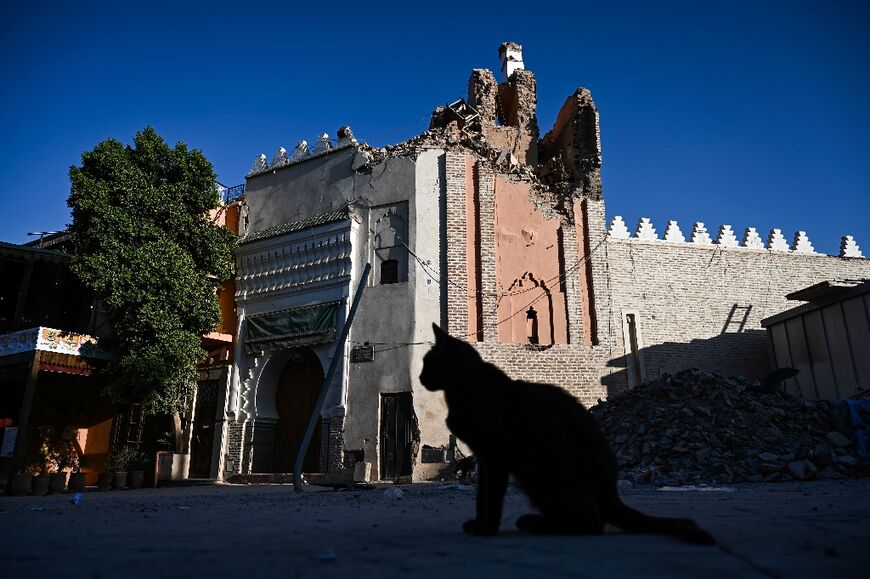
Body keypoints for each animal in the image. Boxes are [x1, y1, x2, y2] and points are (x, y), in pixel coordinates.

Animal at [420, 324, 716, 548]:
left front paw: (486, 529)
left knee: (592, 522)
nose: (421, 377)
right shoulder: (484, 458)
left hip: (539, 469)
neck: (463, 388)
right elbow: (481, 496)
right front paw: (480, 524)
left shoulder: (495, 458)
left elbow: (490, 498)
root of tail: (612, 496)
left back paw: (539, 524)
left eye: (428, 363)